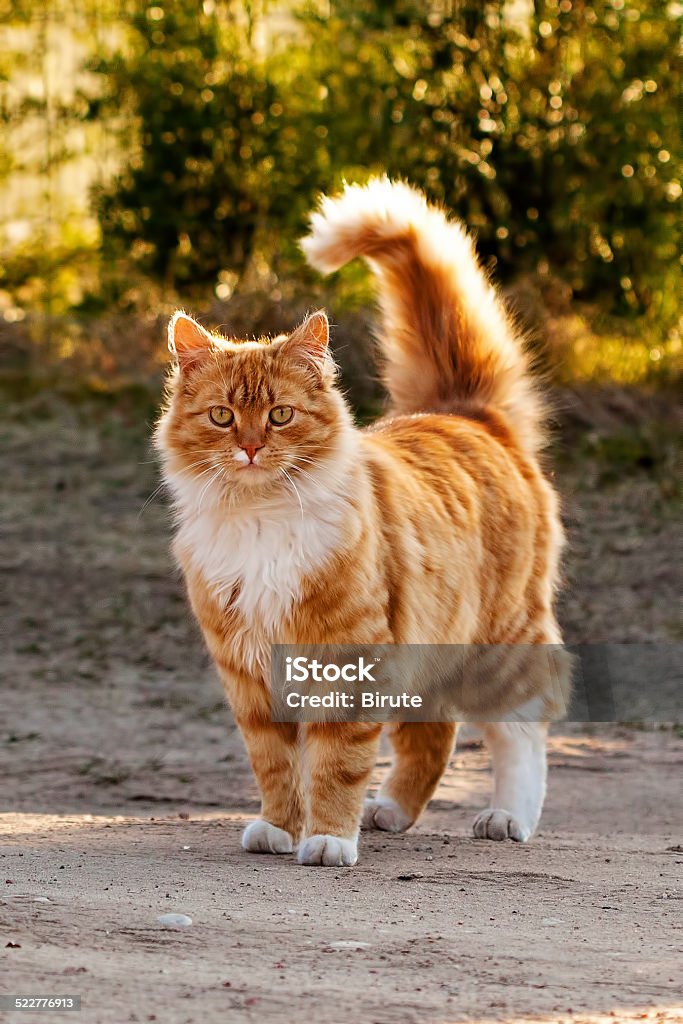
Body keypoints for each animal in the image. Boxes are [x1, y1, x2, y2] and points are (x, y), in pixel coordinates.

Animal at [156, 176, 573, 864]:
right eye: (222, 417)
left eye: (279, 416)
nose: (250, 448)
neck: (263, 519)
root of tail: (465, 412)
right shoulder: (249, 673)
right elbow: (275, 764)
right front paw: (279, 828)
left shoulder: (346, 655)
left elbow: (334, 764)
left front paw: (326, 839)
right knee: (434, 735)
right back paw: (392, 812)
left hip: (501, 638)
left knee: (521, 729)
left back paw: (508, 816)